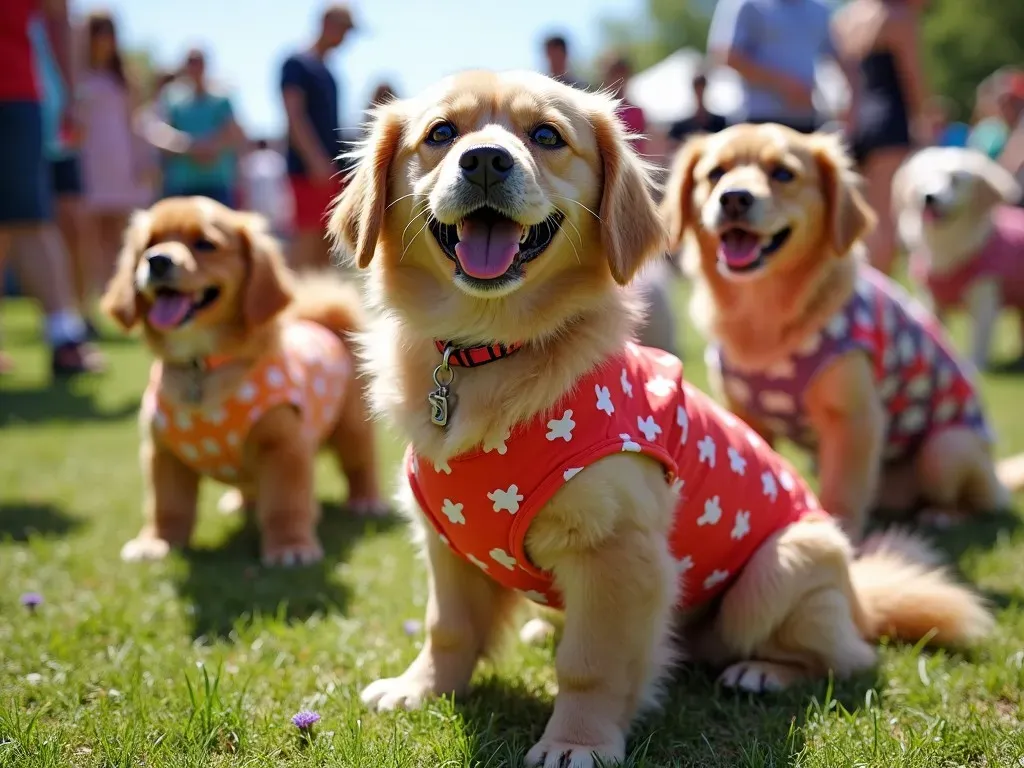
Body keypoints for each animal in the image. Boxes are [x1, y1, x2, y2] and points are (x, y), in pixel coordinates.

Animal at [327, 72, 991, 768]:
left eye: (547, 136)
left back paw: (763, 671)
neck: (489, 351)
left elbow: (590, 664)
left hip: (780, 570)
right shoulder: (445, 542)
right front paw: (420, 688)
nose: (484, 160)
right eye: (440, 133)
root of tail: (859, 596)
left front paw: (577, 741)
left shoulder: (619, 552)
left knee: (845, 657)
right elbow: (448, 628)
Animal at [892, 148, 1019, 372]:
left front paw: (975, 369)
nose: (929, 197)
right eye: (926, 176)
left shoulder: (984, 301)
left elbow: (978, 346)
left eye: (955, 180)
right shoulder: (931, 300)